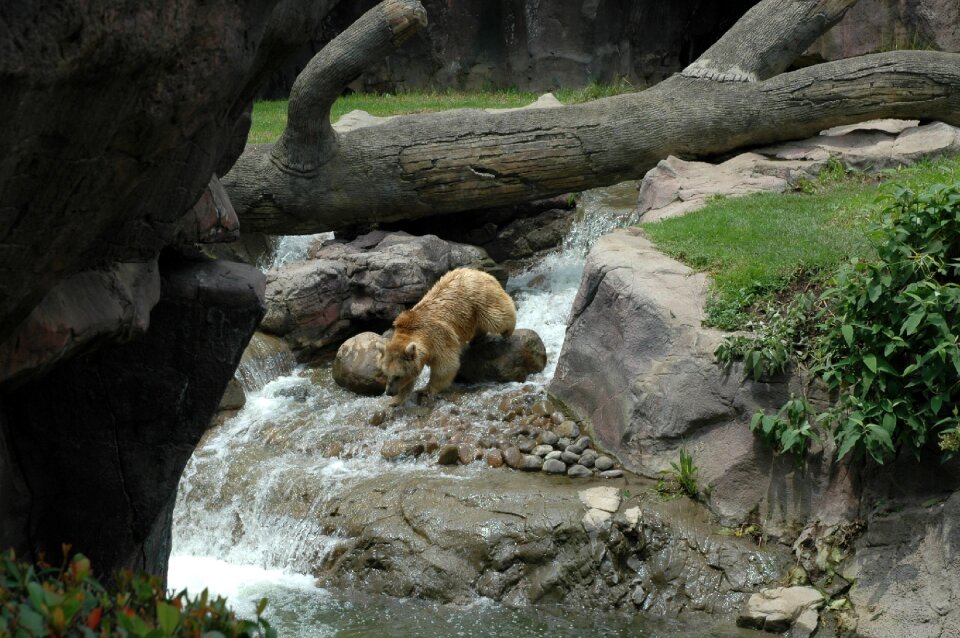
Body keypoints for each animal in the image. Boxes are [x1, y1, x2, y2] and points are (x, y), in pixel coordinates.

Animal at [376, 268, 516, 408]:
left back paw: (508, 330)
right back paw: (477, 337)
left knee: (496, 317)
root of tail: (477, 271)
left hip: (479, 299)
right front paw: (395, 401)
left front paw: (426, 389)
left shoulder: (439, 338)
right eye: (385, 374)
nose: (389, 392)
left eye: (397, 376)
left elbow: (445, 366)